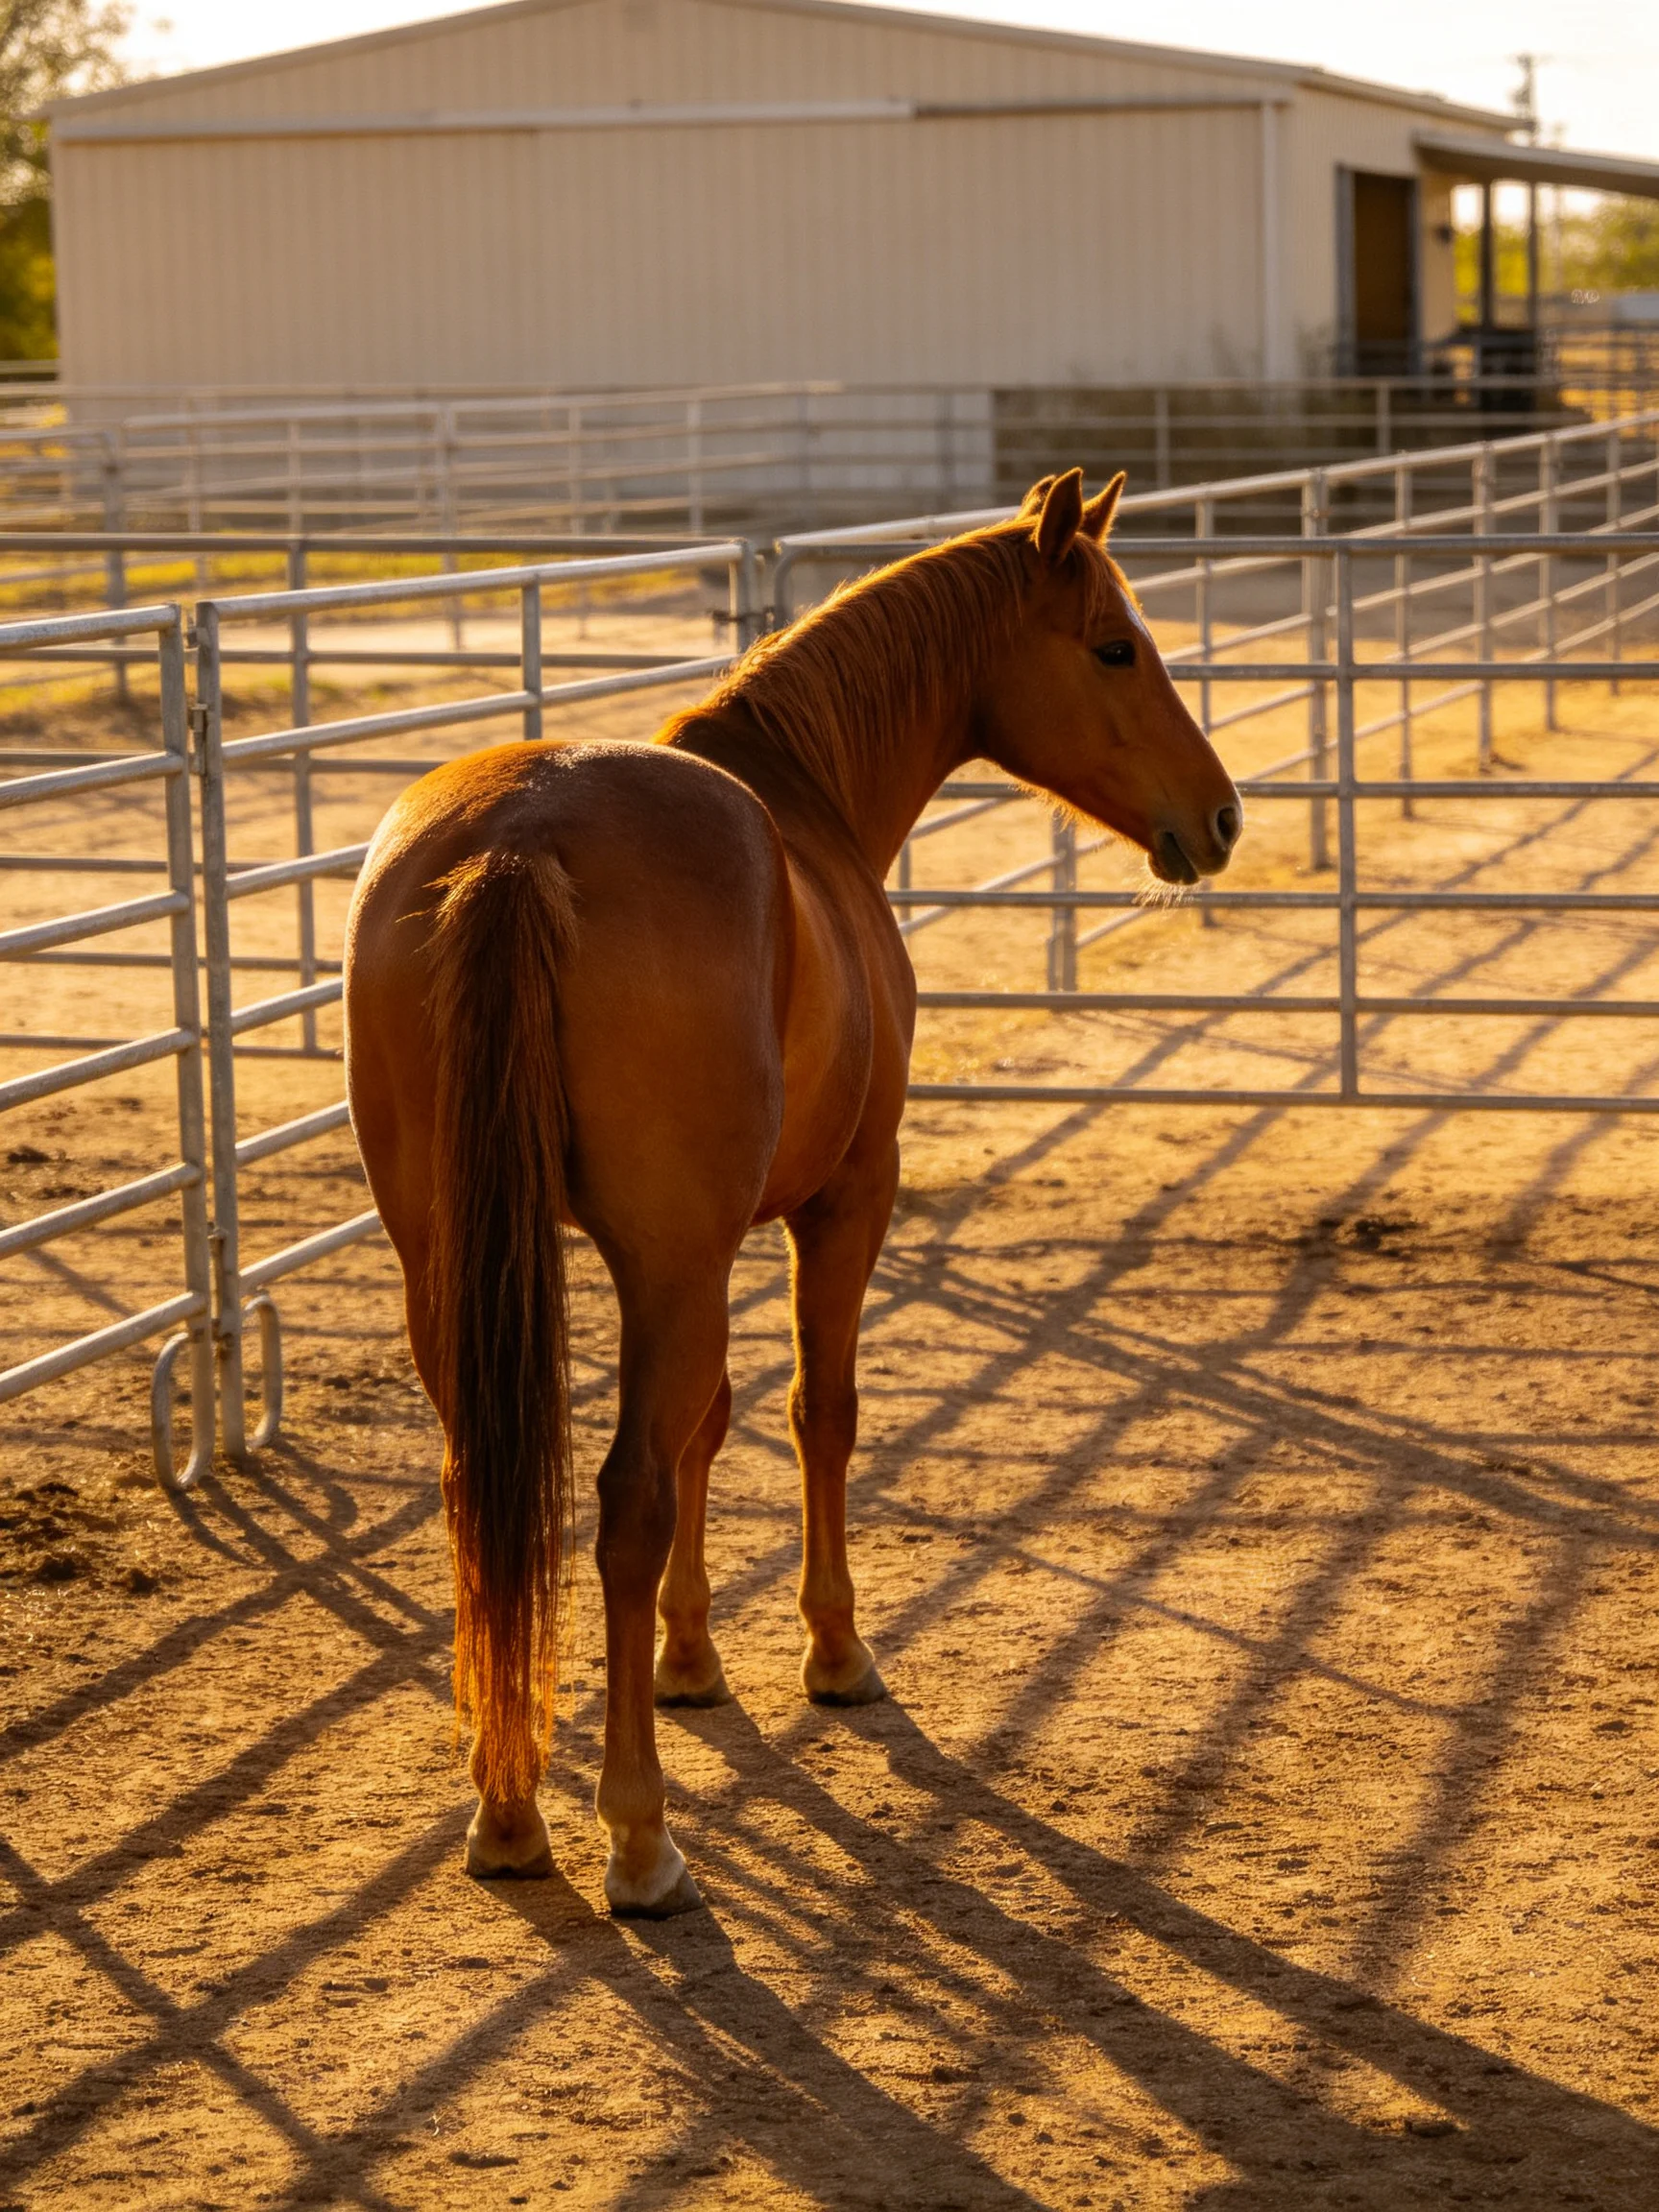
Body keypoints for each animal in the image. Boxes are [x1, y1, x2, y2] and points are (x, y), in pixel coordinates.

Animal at [343, 467, 1241, 1917]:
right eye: (1116, 646)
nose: (1218, 819)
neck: (803, 803)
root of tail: (521, 844)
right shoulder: (837, 1205)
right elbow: (821, 1415)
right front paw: (835, 1653)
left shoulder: (690, 1252)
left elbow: (711, 1426)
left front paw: (691, 1661)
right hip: (667, 1260)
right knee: (622, 1504)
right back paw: (640, 1838)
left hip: (450, 1267)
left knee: (482, 1491)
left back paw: (510, 1811)